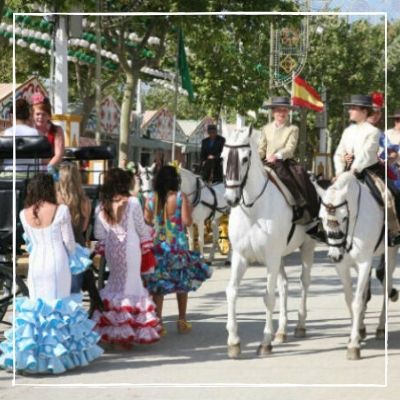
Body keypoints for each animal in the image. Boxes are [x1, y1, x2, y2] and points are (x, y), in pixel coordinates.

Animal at [222, 124, 316, 356]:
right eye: (223, 156)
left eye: (245, 158)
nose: (230, 199)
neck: (253, 210)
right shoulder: (240, 257)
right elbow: (232, 291)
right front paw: (233, 340)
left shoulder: (271, 259)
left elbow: (268, 297)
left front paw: (265, 341)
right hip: (280, 257)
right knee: (284, 285)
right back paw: (281, 331)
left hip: (306, 247)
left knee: (304, 282)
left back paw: (300, 326)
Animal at [314, 172, 392, 360]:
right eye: (321, 218)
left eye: (343, 217)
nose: (334, 255)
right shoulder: (342, 266)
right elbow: (350, 300)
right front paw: (355, 334)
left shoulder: (364, 263)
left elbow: (357, 302)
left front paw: (354, 345)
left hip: (391, 251)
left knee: (386, 284)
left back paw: (381, 327)